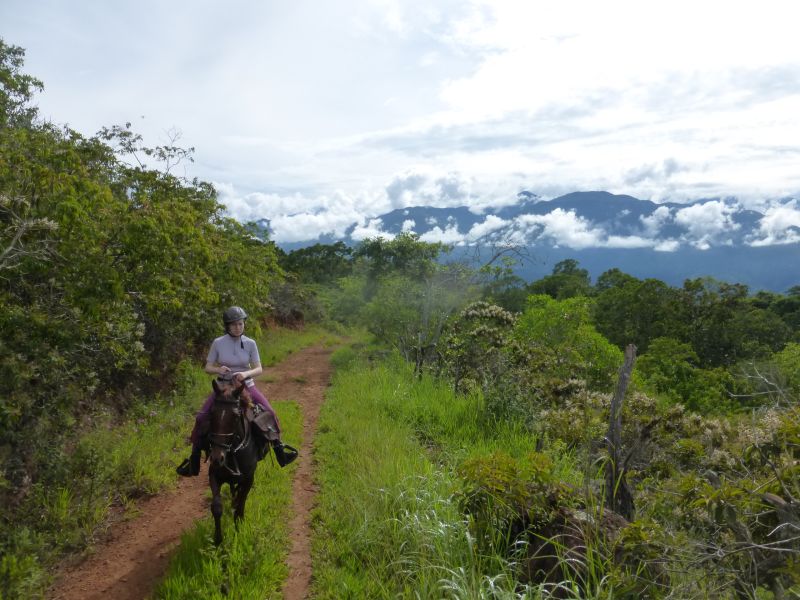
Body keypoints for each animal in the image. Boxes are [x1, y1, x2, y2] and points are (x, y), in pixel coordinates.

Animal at [206, 382, 260, 548]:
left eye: (236, 416)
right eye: (211, 413)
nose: (217, 458)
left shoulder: (249, 479)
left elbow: (241, 503)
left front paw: (239, 527)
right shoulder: (213, 475)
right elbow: (217, 507)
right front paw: (217, 539)